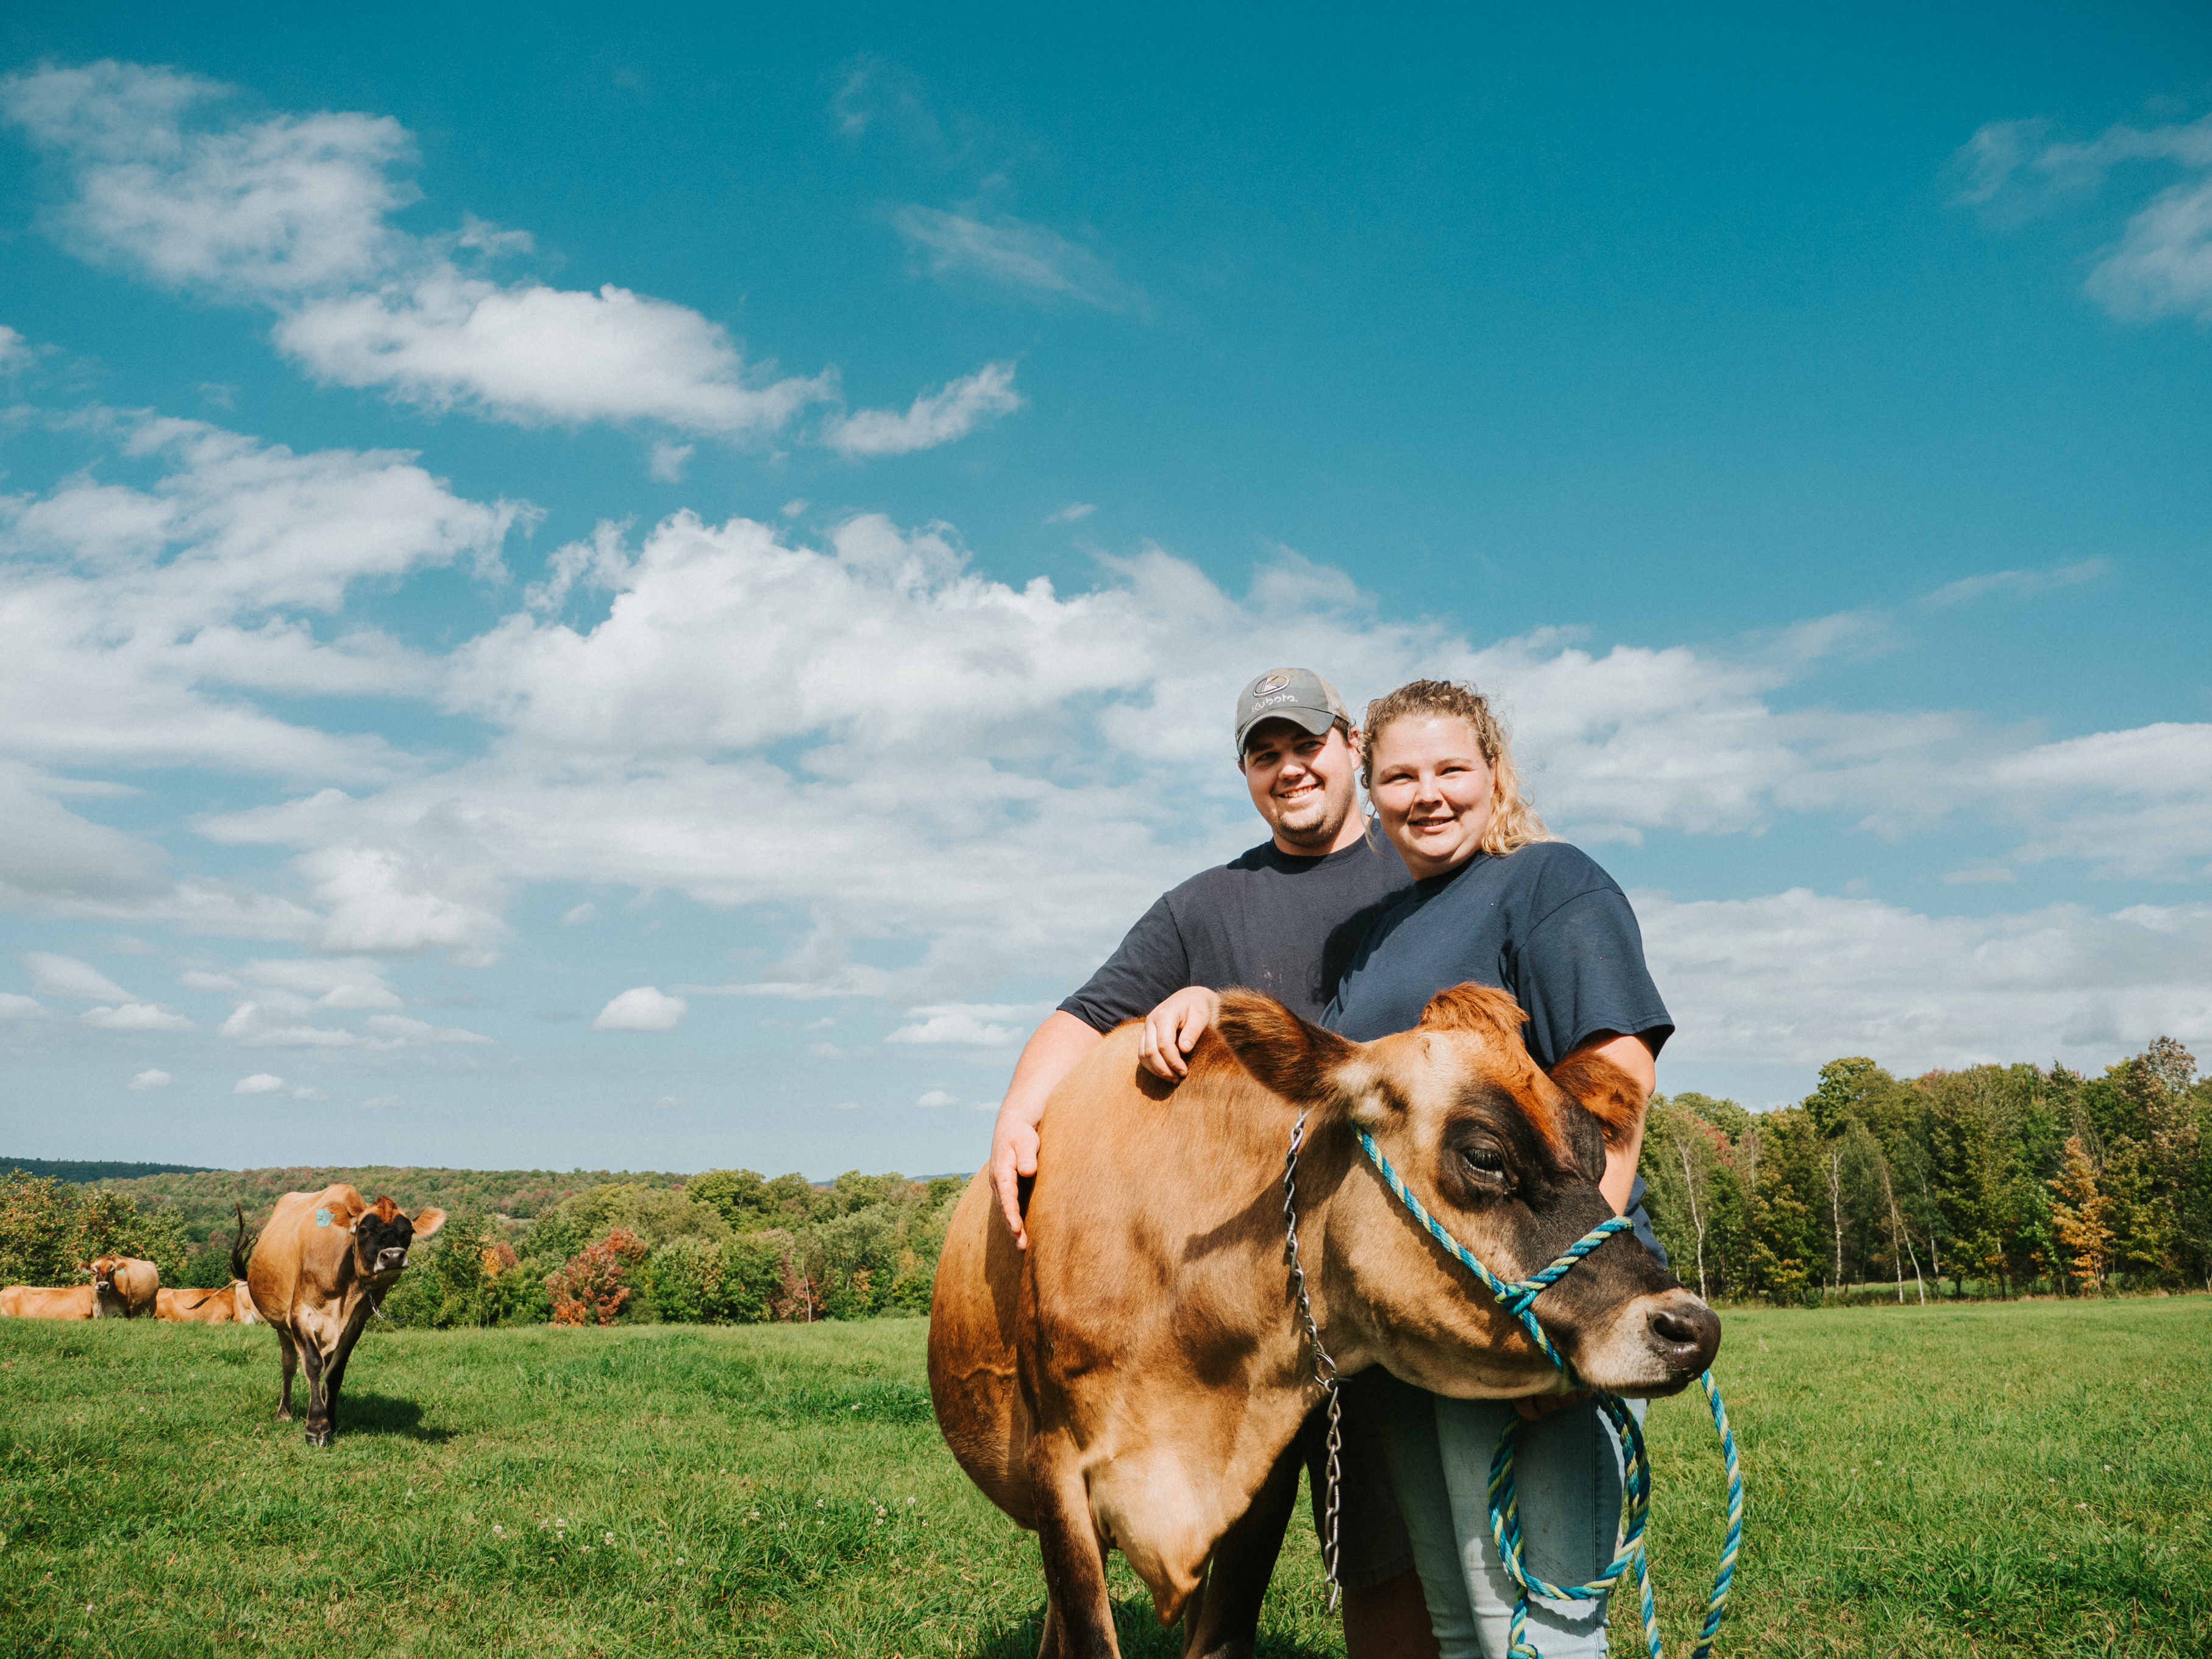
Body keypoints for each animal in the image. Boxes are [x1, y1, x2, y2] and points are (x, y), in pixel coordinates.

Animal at [246, 1185, 444, 1451]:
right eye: (364, 1230)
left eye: (408, 1231)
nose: (393, 1256)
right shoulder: (300, 1314)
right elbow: (313, 1364)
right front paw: (317, 1427)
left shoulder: (356, 1323)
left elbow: (335, 1373)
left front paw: (330, 1420)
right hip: (281, 1324)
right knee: (288, 1364)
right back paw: (284, 1413)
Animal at [924, 986, 1716, 1659]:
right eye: (1483, 1156)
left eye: (1595, 1154)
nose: (1691, 1328)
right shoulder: (1056, 1467)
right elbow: (1087, 1631)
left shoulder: (1260, 1476)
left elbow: (1218, 1637)